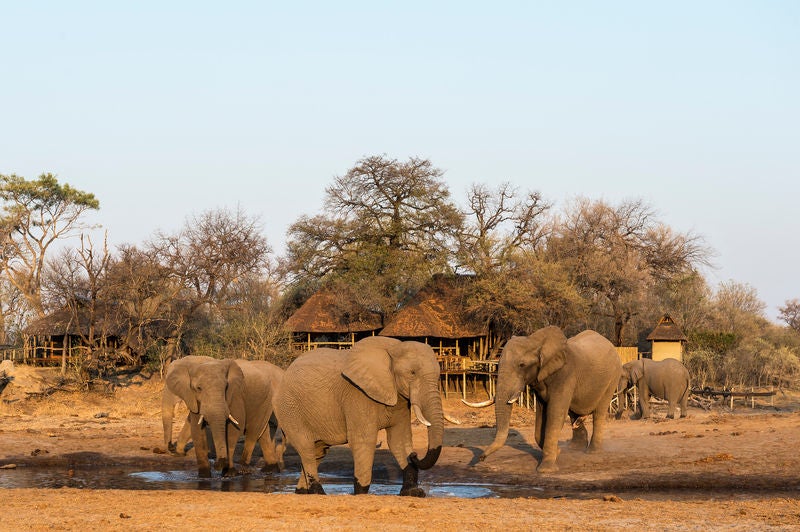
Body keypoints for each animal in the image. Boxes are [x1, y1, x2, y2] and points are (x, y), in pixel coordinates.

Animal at [276, 336, 444, 494]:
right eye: (412, 373)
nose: (415, 455)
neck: (394, 347)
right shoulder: (357, 394)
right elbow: (364, 440)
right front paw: (360, 492)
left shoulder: (399, 398)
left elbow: (399, 439)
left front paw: (414, 493)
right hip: (289, 409)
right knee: (307, 449)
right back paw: (318, 492)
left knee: (318, 452)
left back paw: (302, 492)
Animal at [462, 326, 624, 472]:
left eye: (522, 365)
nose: (481, 458)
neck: (535, 341)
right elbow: (541, 419)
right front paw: (558, 452)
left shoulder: (565, 376)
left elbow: (555, 415)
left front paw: (546, 470)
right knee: (573, 412)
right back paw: (575, 448)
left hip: (613, 377)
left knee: (599, 413)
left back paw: (592, 452)